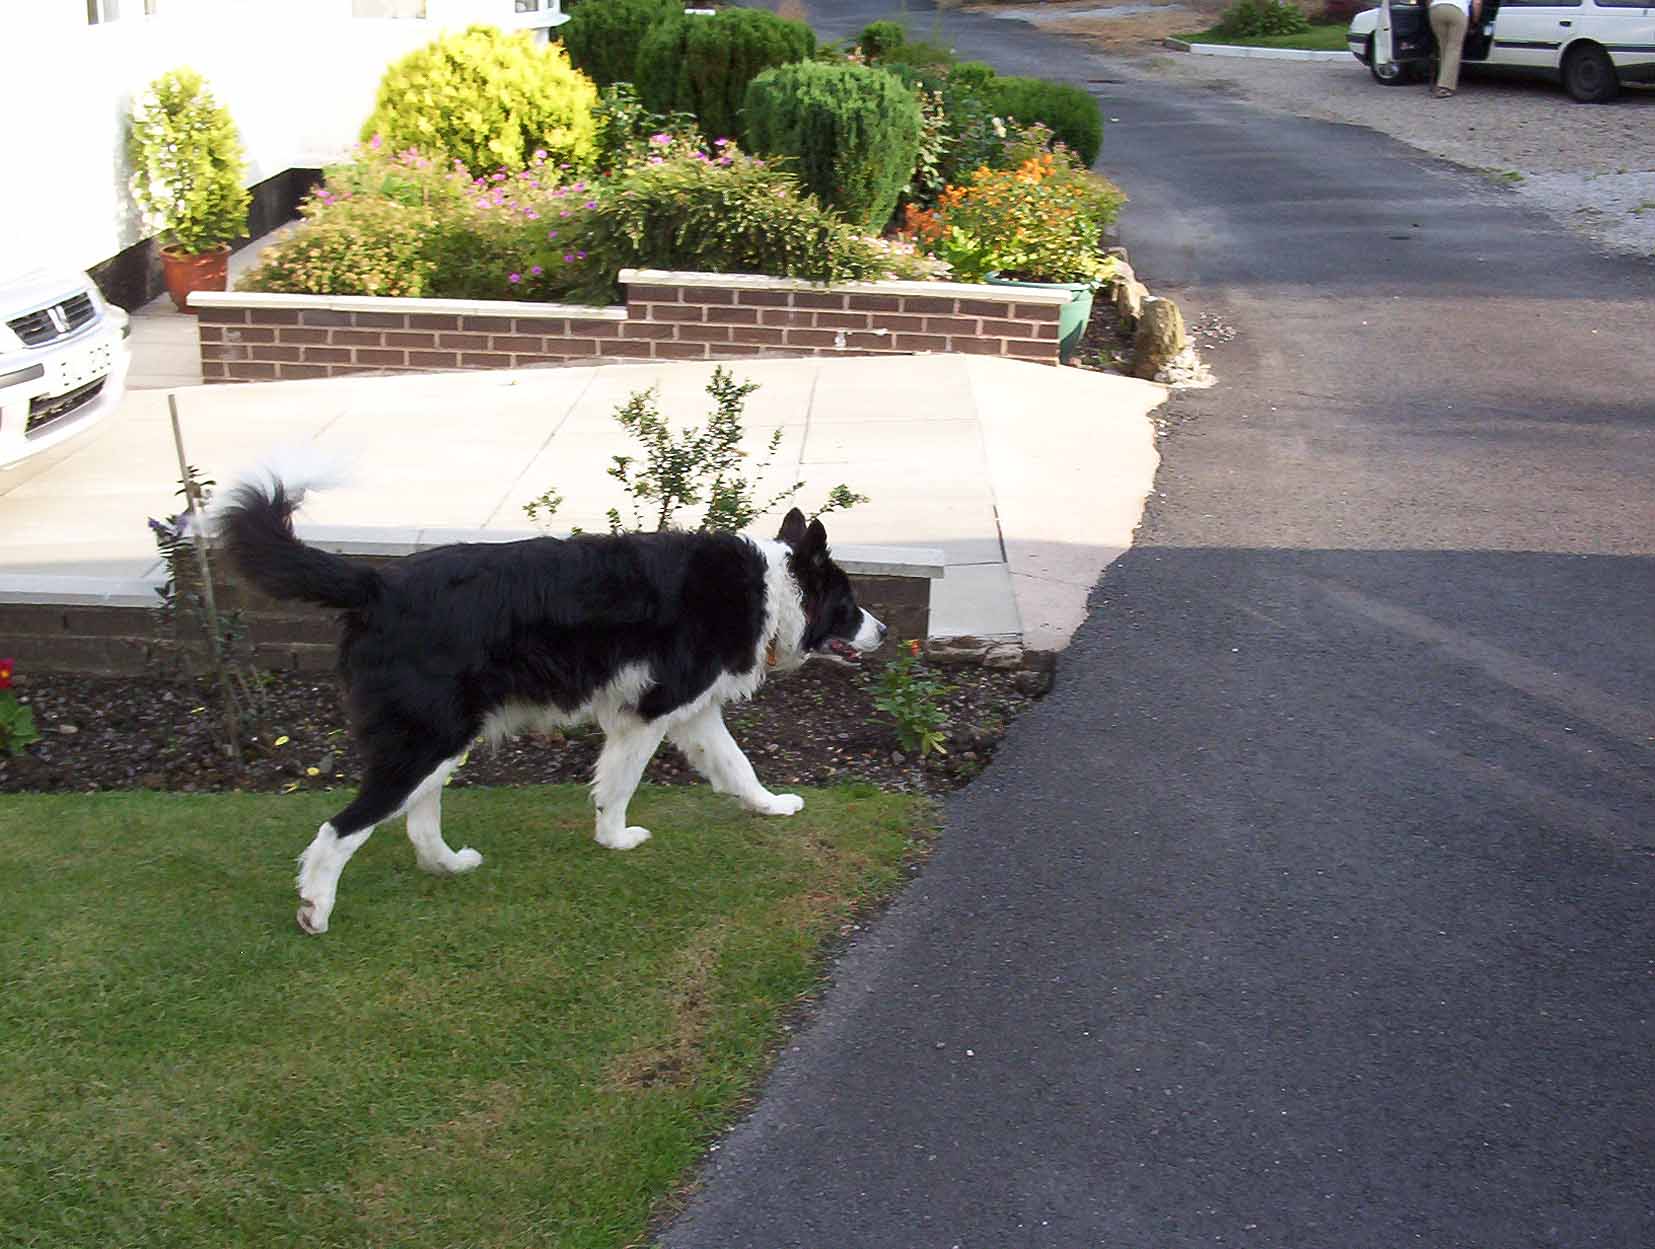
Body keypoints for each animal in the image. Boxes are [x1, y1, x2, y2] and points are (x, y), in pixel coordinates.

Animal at [212, 463, 885, 934]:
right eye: (849, 604)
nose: (882, 632)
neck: (770, 590)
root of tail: (377, 582)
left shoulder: (691, 712)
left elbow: (738, 766)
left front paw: (770, 806)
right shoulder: (647, 713)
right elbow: (619, 785)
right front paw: (615, 839)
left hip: (441, 738)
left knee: (419, 820)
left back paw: (449, 865)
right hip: (427, 739)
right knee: (340, 829)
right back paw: (315, 909)